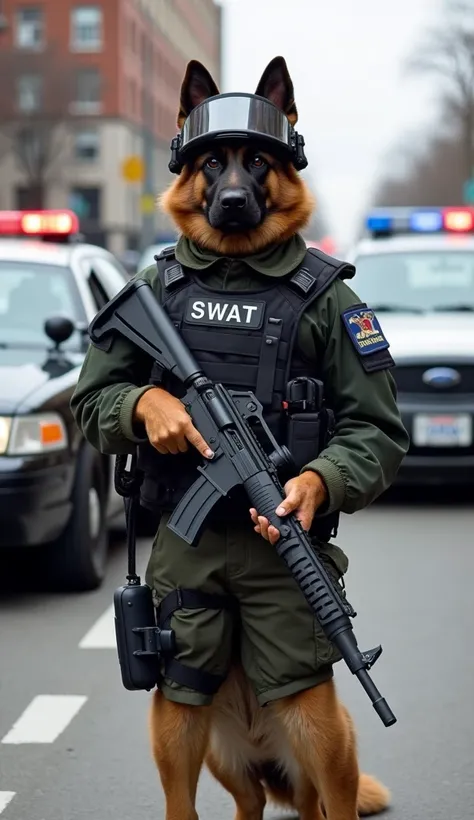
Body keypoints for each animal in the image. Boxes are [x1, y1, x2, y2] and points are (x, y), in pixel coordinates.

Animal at [150, 57, 390, 820]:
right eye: (212, 162)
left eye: (257, 160)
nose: (230, 201)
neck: (235, 266)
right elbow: (106, 394)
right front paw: (163, 414)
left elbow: (374, 427)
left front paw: (292, 504)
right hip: (196, 726)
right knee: (224, 791)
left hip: (318, 732)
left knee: (321, 798)